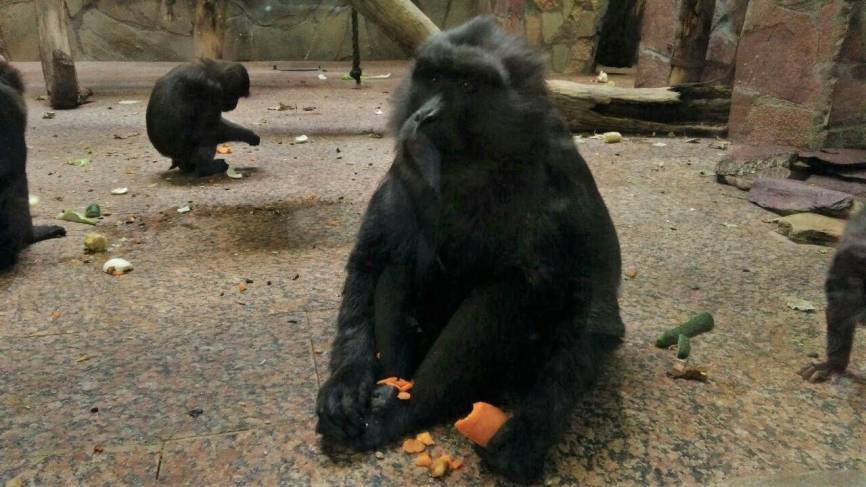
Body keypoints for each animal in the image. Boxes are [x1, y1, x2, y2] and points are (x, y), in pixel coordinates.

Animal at [314, 16, 624, 484]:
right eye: (435, 78)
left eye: (468, 85)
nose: (427, 115)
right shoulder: (405, 164)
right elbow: (368, 263)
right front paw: (347, 384)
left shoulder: (563, 168)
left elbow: (596, 316)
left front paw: (528, 431)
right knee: (398, 263)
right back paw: (392, 389)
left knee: (510, 288)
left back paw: (408, 411)